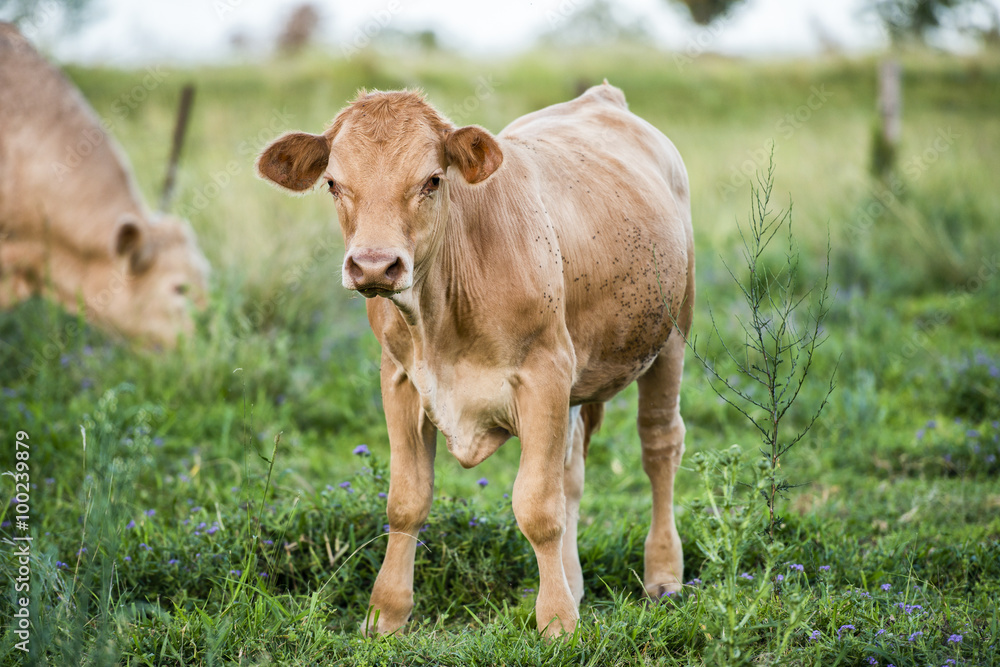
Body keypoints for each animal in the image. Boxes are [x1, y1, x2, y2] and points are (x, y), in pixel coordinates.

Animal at [258, 83, 696, 636]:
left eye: (432, 180)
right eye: (334, 184)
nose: (374, 265)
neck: (441, 321)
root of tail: (602, 97)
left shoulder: (544, 375)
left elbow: (537, 506)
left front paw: (557, 623)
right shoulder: (400, 379)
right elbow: (406, 501)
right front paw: (386, 615)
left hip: (672, 335)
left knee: (659, 446)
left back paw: (663, 576)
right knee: (573, 470)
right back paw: (574, 583)